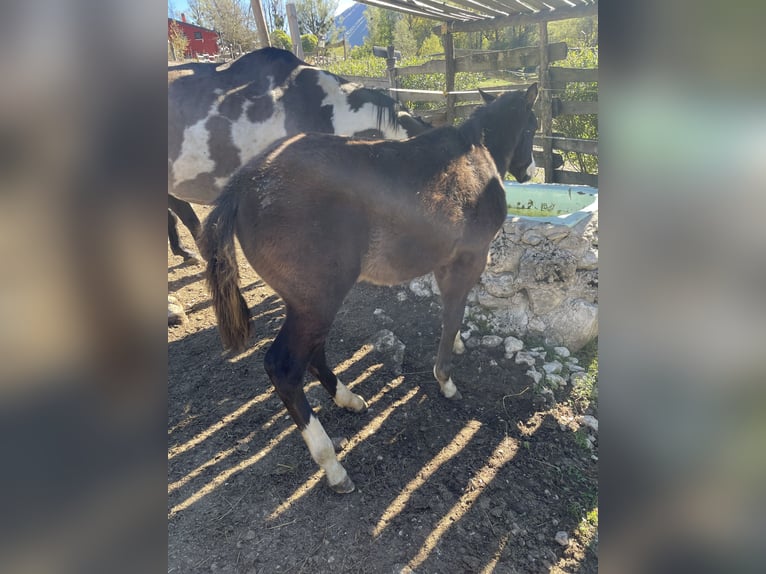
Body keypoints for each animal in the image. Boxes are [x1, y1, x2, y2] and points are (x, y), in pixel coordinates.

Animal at [200, 84, 538, 493]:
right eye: (533, 128)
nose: (530, 169)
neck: (473, 159)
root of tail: (244, 184)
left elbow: (451, 314)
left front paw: (457, 344)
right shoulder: (469, 259)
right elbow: (453, 313)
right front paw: (446, 380)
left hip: (308, 302)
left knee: (313, 353)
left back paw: (348, 399)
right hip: (318, 301)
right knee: (284, 367)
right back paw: (332, 465)